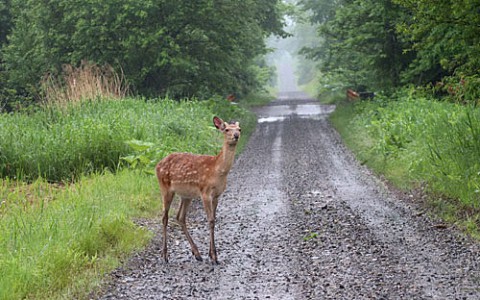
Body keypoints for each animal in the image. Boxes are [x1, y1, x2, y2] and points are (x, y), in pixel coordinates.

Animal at [157, 116, 242, 264]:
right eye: (226, 129)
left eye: (239, 129)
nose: (236, 135)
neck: (217, 170)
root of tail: (157, 165)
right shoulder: (205, 192)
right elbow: (211, 220)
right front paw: (214, 256)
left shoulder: (217, 195)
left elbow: (214, 218)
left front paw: (210, 254)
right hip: (165, 188)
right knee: (164, 217)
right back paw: (165, 255)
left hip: (186, 195)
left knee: (180, 217)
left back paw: (196, 253)